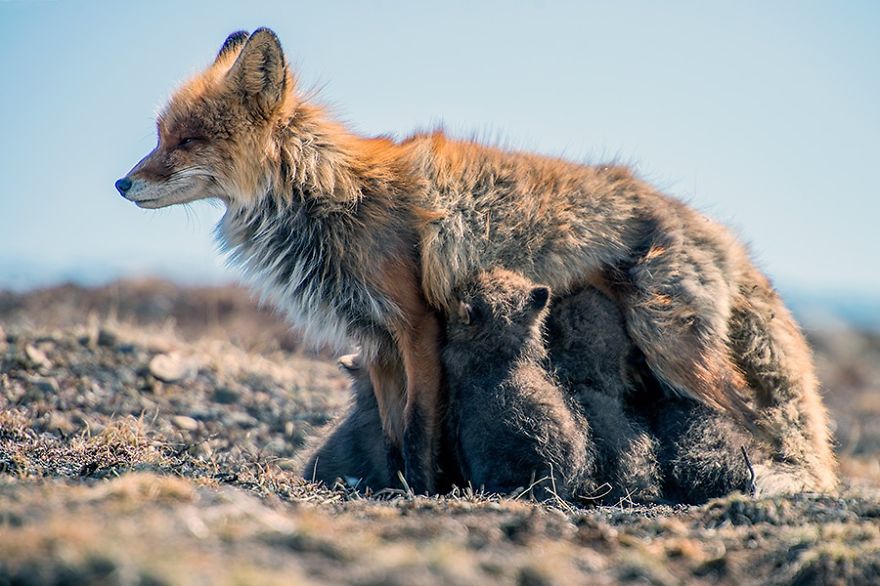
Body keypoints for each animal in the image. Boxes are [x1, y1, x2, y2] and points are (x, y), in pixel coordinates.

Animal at [117, 28, 836, 494]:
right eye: (158, 136)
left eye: (187, 141)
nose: (122, 184)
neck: (333, 199)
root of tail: (723, 234)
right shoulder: (376, 340)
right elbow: (393, 434)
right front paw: (391, 487)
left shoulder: (417, 326)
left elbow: (420, 431)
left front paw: (425, 491)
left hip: (671, 345)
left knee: (751, 417)